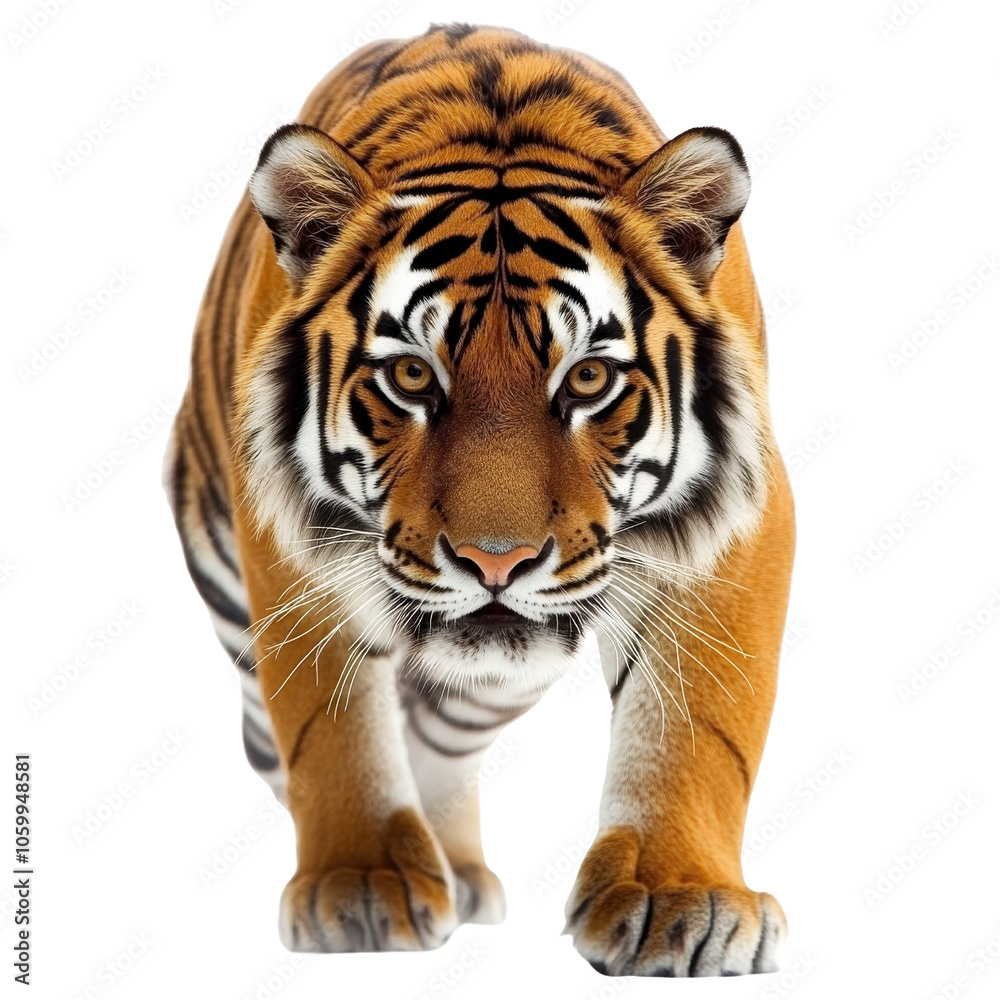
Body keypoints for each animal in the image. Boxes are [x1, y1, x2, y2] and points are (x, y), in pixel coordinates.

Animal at [164, 23, 795, 978]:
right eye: (412, 376)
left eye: (590, 380)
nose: (496, 562)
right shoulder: (286, 537)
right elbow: (329, 726)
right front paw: (361, 885)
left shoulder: (738, 523)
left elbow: (699, 723)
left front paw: (679, 896)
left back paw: (457, 869)